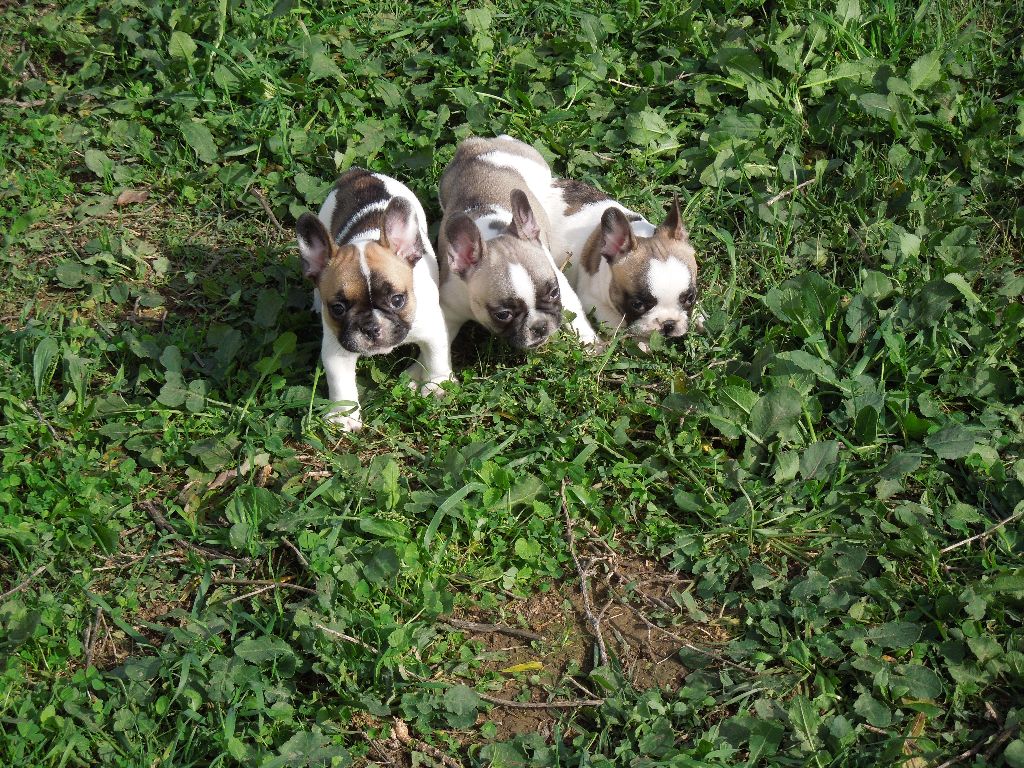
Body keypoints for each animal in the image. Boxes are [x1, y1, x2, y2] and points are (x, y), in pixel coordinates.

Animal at [299, 169, 454, 434]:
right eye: (338, 308)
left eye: (397, 300)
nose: (371, 327)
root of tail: (361, 173)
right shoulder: (337, 348)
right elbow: (340, 381)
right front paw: (343, 416)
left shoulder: (433, 330)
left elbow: (436, 357)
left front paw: (436, 386)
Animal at [434, 137, 598, 350]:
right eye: (503, 315)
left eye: (554, 293)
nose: (539, 326)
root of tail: (476, 145)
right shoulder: (449, 307)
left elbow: (574, 311)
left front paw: (590, 342)